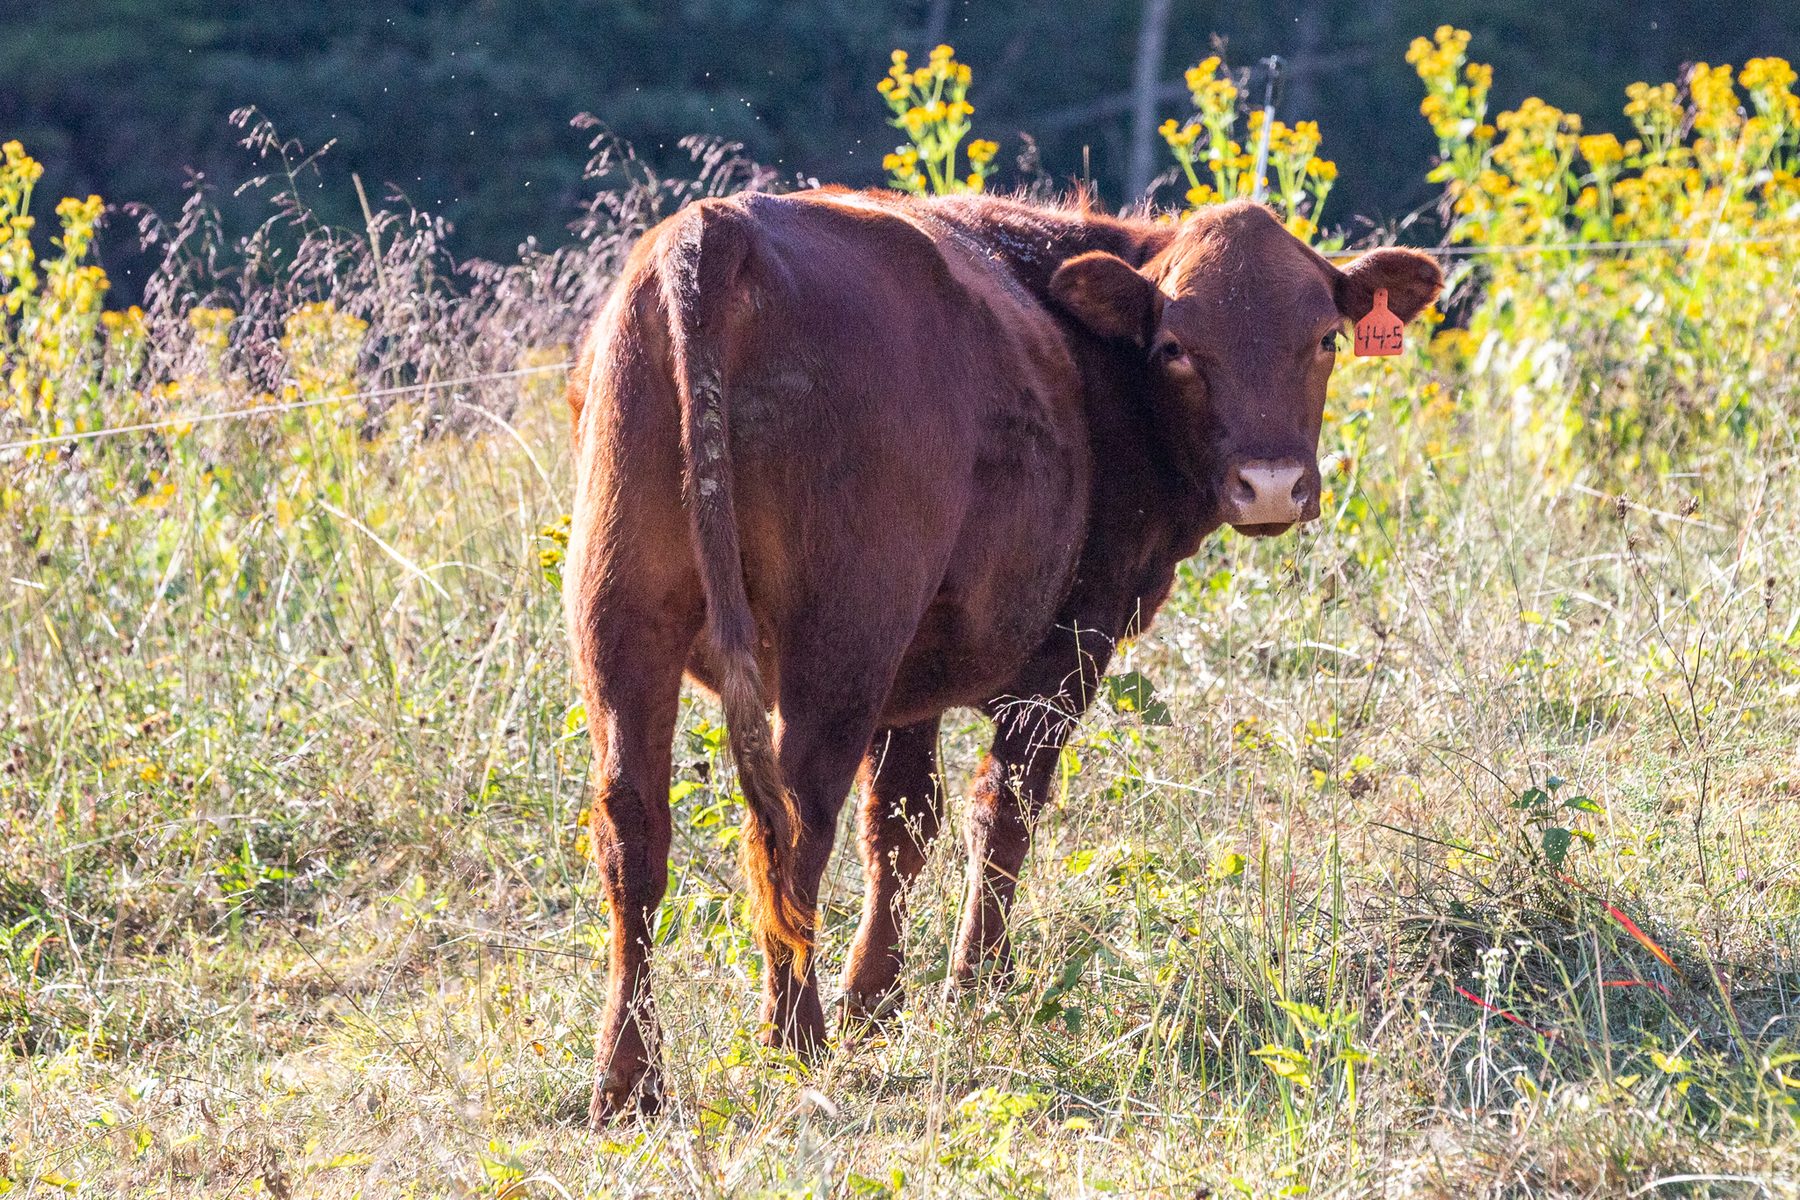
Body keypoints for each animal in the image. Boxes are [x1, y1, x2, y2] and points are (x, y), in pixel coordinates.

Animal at [563, 189, 1441, 1121]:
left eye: (1325, 338)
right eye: (1175, 346)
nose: (1270, 484)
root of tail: (722, 226)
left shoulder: (909, 683)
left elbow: (903, 827)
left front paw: (876, 1000)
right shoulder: (1069, 648)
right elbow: (1003, 812)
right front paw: (969, 986)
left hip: (622, 620)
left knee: (634, 832)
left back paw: (630, 1077)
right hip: (839, 645)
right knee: (794, 831)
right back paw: (793, 1039)